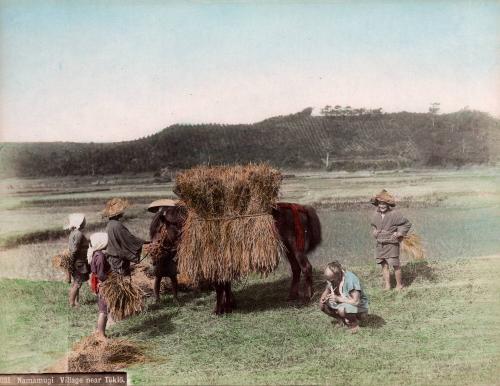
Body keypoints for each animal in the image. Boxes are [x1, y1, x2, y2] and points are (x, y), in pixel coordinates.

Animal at [150, 202, 322, 314]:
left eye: (158, 229)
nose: (153, 253)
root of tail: (300, 208)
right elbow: (226, 285)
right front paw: (229, 305)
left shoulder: (218, 263)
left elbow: (220, 286)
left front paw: (219, 309)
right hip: (289, 249)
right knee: (296, 269)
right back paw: (292, 296)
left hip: (296, 248)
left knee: (306, 267)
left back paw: (308, 297)